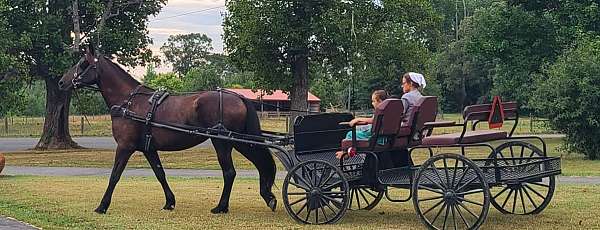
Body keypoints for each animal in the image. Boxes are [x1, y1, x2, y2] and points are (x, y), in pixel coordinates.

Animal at [57, 47, 278, 215]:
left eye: (83, 63)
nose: (61, 82)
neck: (129, 102)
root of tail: (237, 97)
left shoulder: (125, 147)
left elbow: (115, 175)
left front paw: (102, 206)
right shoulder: (148, 149)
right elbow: (160, 173)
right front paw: (170, 202)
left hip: (224, 142)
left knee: (230, 172)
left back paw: (221, 207)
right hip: (238, 141)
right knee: (258, 164)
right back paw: (266, 197)